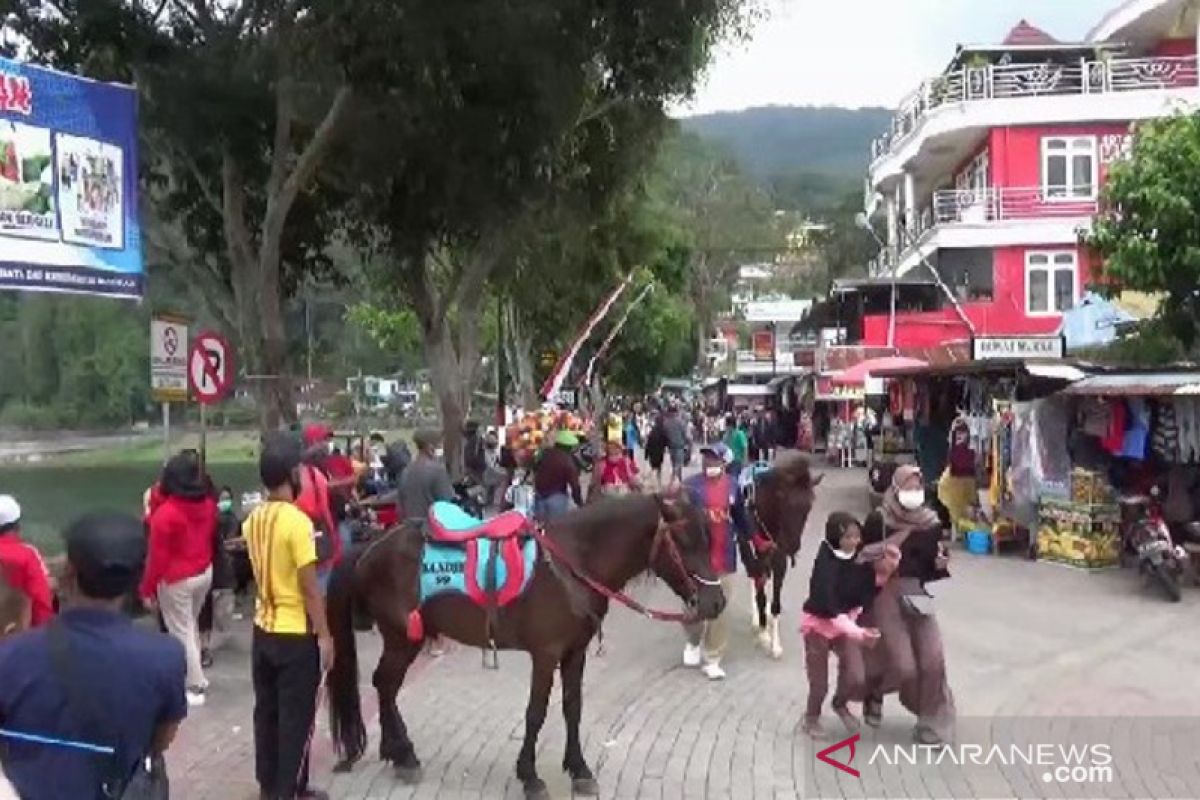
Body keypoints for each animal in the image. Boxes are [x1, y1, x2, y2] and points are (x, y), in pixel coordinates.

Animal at [324, 494, 724, 800]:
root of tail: (369, 547)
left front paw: (579, 769)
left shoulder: (574, 653)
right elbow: (536, 713)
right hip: (402, 637)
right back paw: (403, 755)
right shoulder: (545, 654)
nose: (716, 602)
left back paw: (397, 752)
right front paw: (529, 775)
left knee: (385, 686)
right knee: (385, 683)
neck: (573, 562)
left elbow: (572, 708)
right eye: (684, 540)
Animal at [739, 453, 825, 662]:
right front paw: (764, 634)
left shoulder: (780, 557)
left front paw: (776, 645)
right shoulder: (760, 551)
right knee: (752, 572)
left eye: (809, 505)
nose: (793, 545)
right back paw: (757, 619)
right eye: (784, 500)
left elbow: (775, 603)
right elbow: (761, 593)